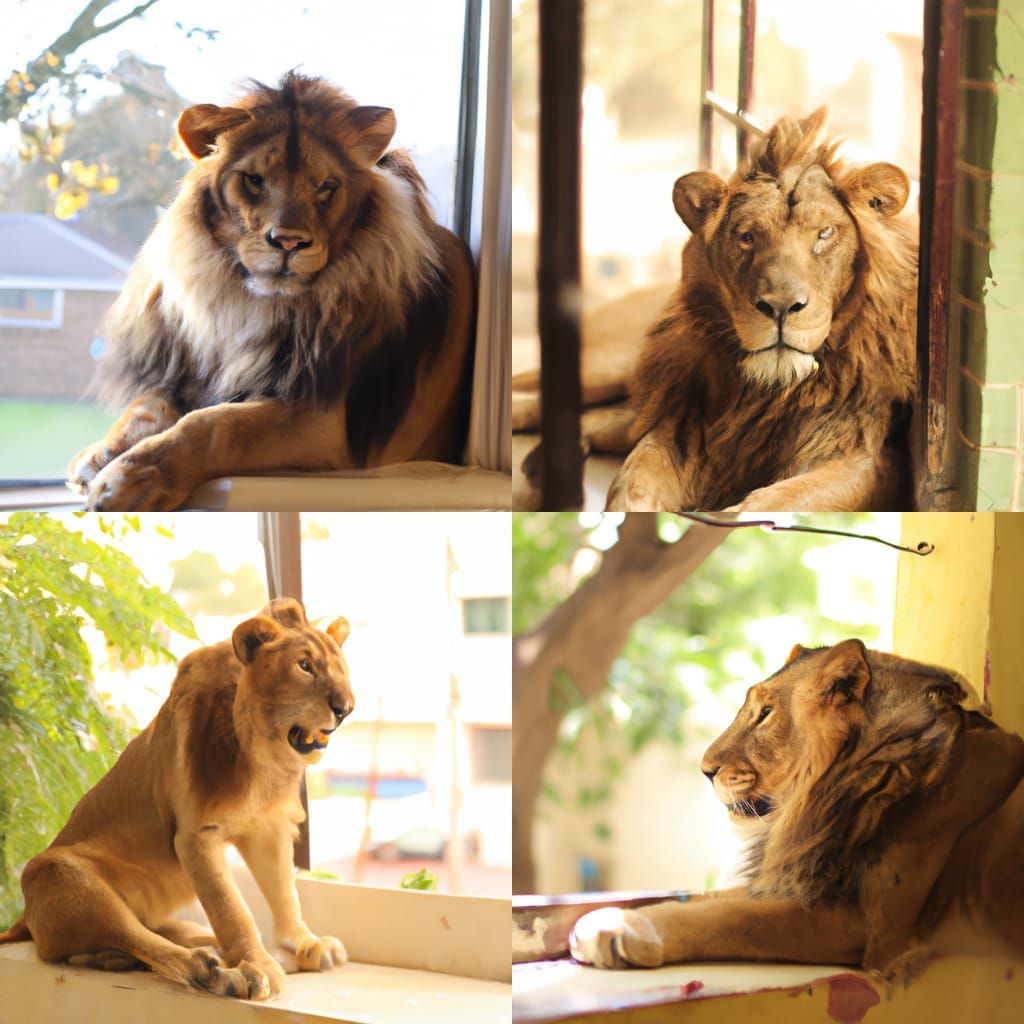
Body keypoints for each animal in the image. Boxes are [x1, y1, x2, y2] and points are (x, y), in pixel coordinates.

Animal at [0, 598, 353, 1000]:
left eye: (342, 668)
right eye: (304, 666)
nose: (345, 709)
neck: (263, 754)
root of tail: (22, 918)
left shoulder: (268, 828)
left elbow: (284, 892)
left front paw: (305, 944)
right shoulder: (196, 835)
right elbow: (232, 909)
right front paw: (260, 966)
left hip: (166, 921)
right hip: (67, 876)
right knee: (149, 945)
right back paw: (224, 974)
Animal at [67, 71, 474, 511]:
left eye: (326, 187)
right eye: (254, 180)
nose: (289, 242)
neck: (248, 306)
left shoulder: (324, 422)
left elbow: (216, 425)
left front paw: (127, 478)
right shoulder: (189, 375)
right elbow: (147, 405)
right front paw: (100, 454)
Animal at [570, 640, 1024, 980]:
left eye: (765, 714)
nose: (706, 769)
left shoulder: (872, 927)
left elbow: (729, 918)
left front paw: (618, 929)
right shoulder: (796, 875)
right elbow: (707, 899)